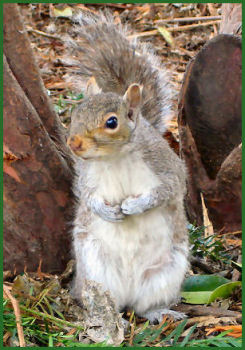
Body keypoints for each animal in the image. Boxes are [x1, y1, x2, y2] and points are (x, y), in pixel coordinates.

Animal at [66, 11, 189, 322]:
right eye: (75, 113)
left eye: (112, 122)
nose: (73, 143)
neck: (114, 158)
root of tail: (130, 289)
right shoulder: (87, 176)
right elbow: (87, 197)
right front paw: (106, 211)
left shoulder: (165, 165)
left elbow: (169, 189)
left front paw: (135, 206)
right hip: (96, 271)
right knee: (110, 303)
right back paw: (105, 317)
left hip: (166, 273)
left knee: (143, 306)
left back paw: (159, 312)